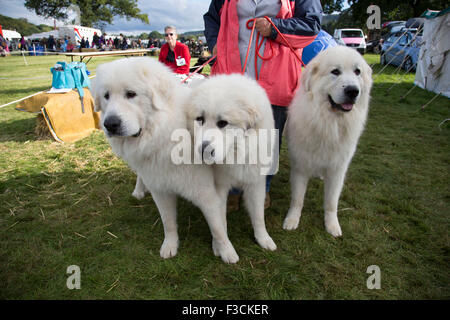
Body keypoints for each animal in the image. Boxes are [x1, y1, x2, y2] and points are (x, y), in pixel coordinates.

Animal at [186, 74, 278, 251]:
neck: (236, 153)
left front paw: (263, 238)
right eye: (200, 119)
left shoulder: (256, 183)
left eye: (223, 123)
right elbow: (220, 220)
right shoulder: (219, 187)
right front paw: (221, 246)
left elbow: (258, 216)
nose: (204, 150)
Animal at [284, 46, 372, 236]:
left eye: (357, 72)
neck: (329, 123)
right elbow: (297, 199)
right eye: (335, 72)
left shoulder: (338, 169)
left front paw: (332, 225)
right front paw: (292, 219)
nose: (353, 91)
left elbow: (332, 202)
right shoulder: (301, 166)